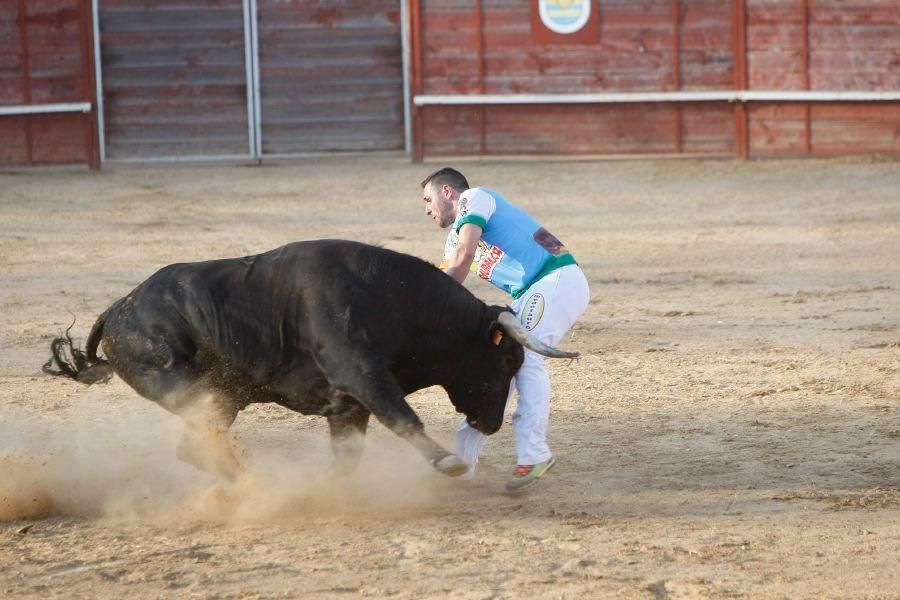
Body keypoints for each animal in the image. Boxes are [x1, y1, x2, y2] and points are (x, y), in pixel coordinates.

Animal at [44, 239, 576, 478]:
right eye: (506, 362)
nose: (491, 424)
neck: (389, 299)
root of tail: (118, 308)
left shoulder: (348, 406)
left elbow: (349, 454)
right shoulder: (360, 375)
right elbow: (403, 417)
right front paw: (447, 461)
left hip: (221, 394)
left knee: (196, 445)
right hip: (190, 387)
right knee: (199, 441)